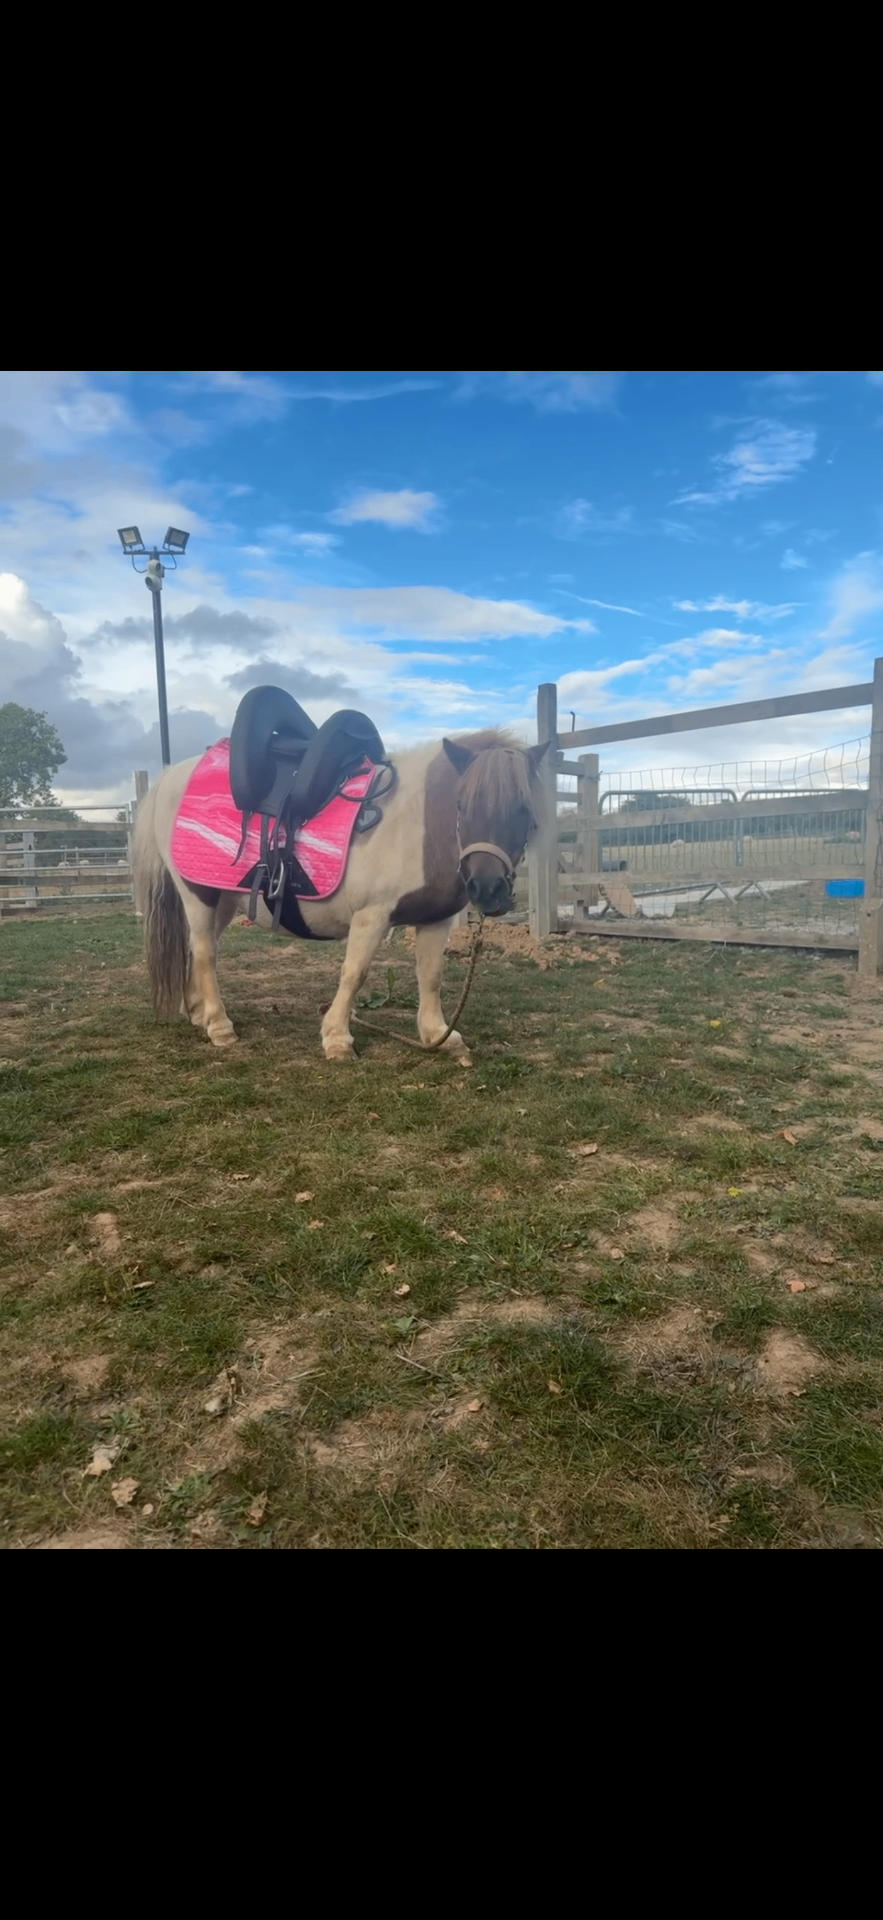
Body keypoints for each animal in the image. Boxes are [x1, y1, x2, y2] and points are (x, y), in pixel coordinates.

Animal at [132, 728, 549, 1062]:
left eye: (523, 809)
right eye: (462, 804)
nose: (488, 889)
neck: (419, 826)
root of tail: (173, 774)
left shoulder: (435, 920)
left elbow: (431, 975)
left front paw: (438, 1036)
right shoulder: (372, 916)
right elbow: (355, 973)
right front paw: (337, 1037)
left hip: (223, 899)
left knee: (198, 948)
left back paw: (199, 1012)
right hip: (197, 894)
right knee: (205, 951)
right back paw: (219, 1025)